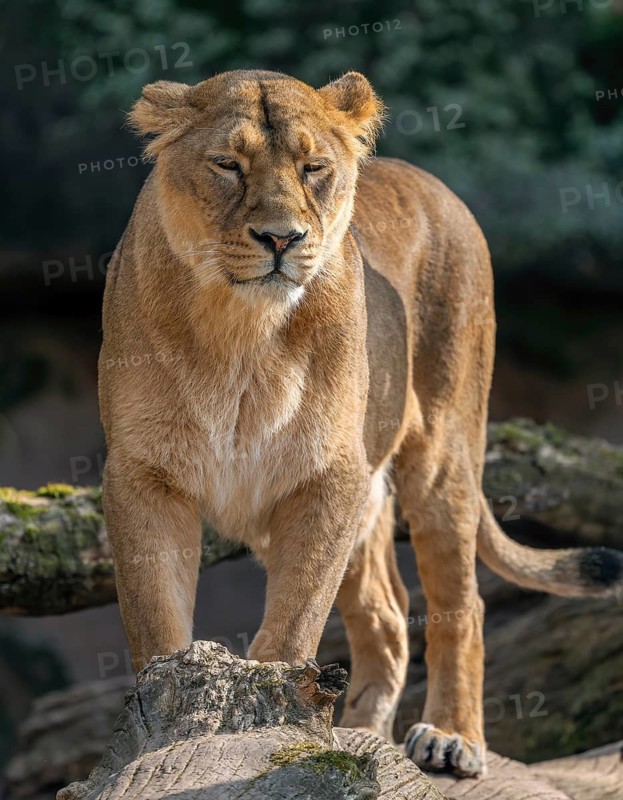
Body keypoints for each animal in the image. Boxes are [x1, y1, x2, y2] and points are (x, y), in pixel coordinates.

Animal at [99, 69, 623, 778]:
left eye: (314, 168)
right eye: (227, 165)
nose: (281, 239)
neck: (240, 331)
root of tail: (432, 182)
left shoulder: (328, 475)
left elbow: (294, 621)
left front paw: (267, 731)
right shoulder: (142, 473)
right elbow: (156, 619)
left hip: (443, 453)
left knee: (462, 604)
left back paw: (451, 737)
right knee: (389, 618)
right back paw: (362, 735)